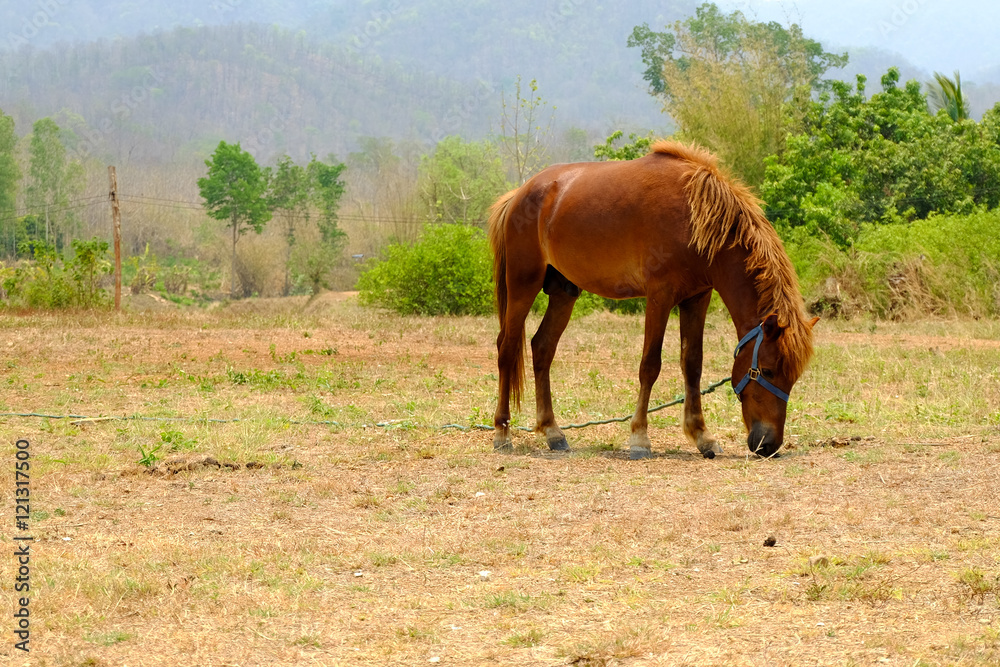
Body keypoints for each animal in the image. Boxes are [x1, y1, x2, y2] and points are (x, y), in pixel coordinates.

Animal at [488, 142, 816, 460]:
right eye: (768, 371)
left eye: (793, 377)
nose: (769, 445)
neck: (694, 217)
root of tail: (519, 194)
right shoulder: (660, 296)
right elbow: (650, 365)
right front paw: (640, 439)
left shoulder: (696, 298)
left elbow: (692, 364)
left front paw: (702, 437)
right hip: (523, 285)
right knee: (506, 348)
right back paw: (502, 433)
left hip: (563, 291)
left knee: (542, 348)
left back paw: (553, 433)